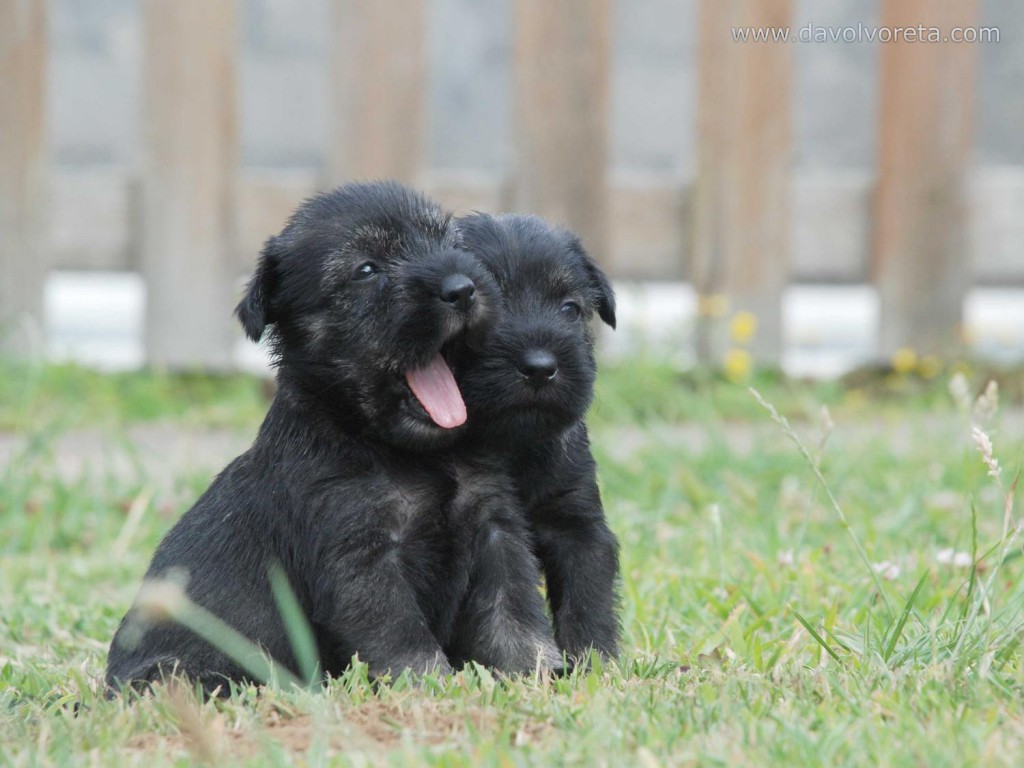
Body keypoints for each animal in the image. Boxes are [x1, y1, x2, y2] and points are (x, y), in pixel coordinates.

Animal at [103, 183, 561, 696]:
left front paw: (540, 677)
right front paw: (432, 688)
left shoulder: (495, 529)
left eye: (452, 243)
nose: (462, 288)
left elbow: (513, 616)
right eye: (366, 270)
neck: (410, 452)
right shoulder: (361, 558)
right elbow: (403, 640)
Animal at [452, 214, 618, 663]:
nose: (541, 367)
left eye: (570, 309)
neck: (515, 447)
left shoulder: (576, 523)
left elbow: (587, 598)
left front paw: (595, 662)